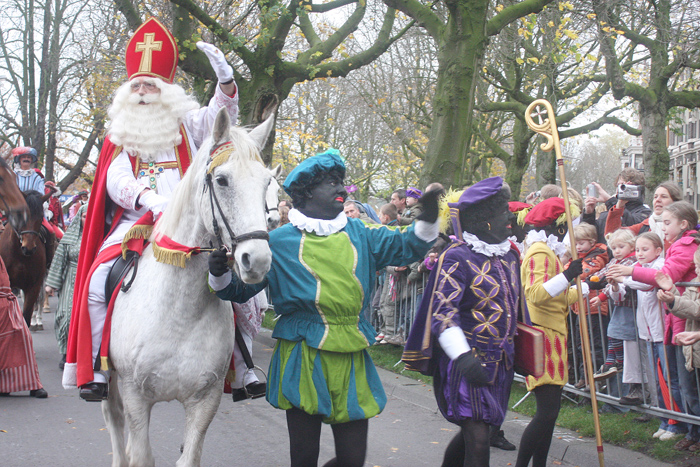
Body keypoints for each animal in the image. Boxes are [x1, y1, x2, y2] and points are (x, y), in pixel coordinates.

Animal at [0, 188, 55, 328]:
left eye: (41, 216)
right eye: (19, 214)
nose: (28, 248)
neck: (19, 255)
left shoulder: (33, 287)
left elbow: (26, 316)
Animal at [104, 108, 274, 466]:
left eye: (267, 183)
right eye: (222, 180)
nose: (258, 260)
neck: (180, 311)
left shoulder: (205, 399)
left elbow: (189, 456)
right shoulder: (135, 394)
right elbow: (140, 454)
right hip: (109, 382)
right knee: (113, 420)